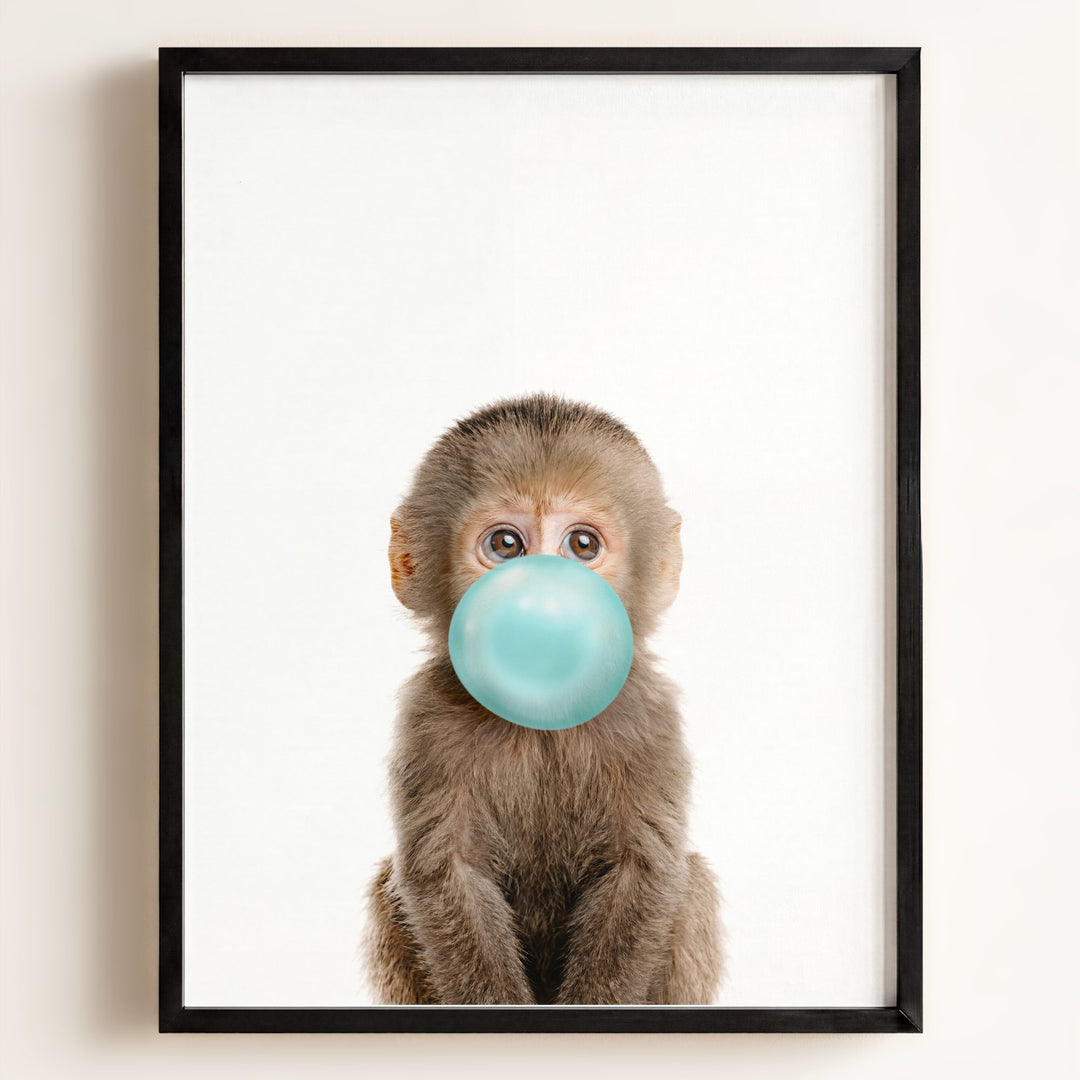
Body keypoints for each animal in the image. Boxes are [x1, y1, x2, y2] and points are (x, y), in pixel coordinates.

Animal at [364, 393, 722, 1005]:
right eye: (506, 545)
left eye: (582, 545)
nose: (544, 594)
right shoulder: (429, 716)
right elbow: (447, 873)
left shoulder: (647, 715)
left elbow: (642, 871)